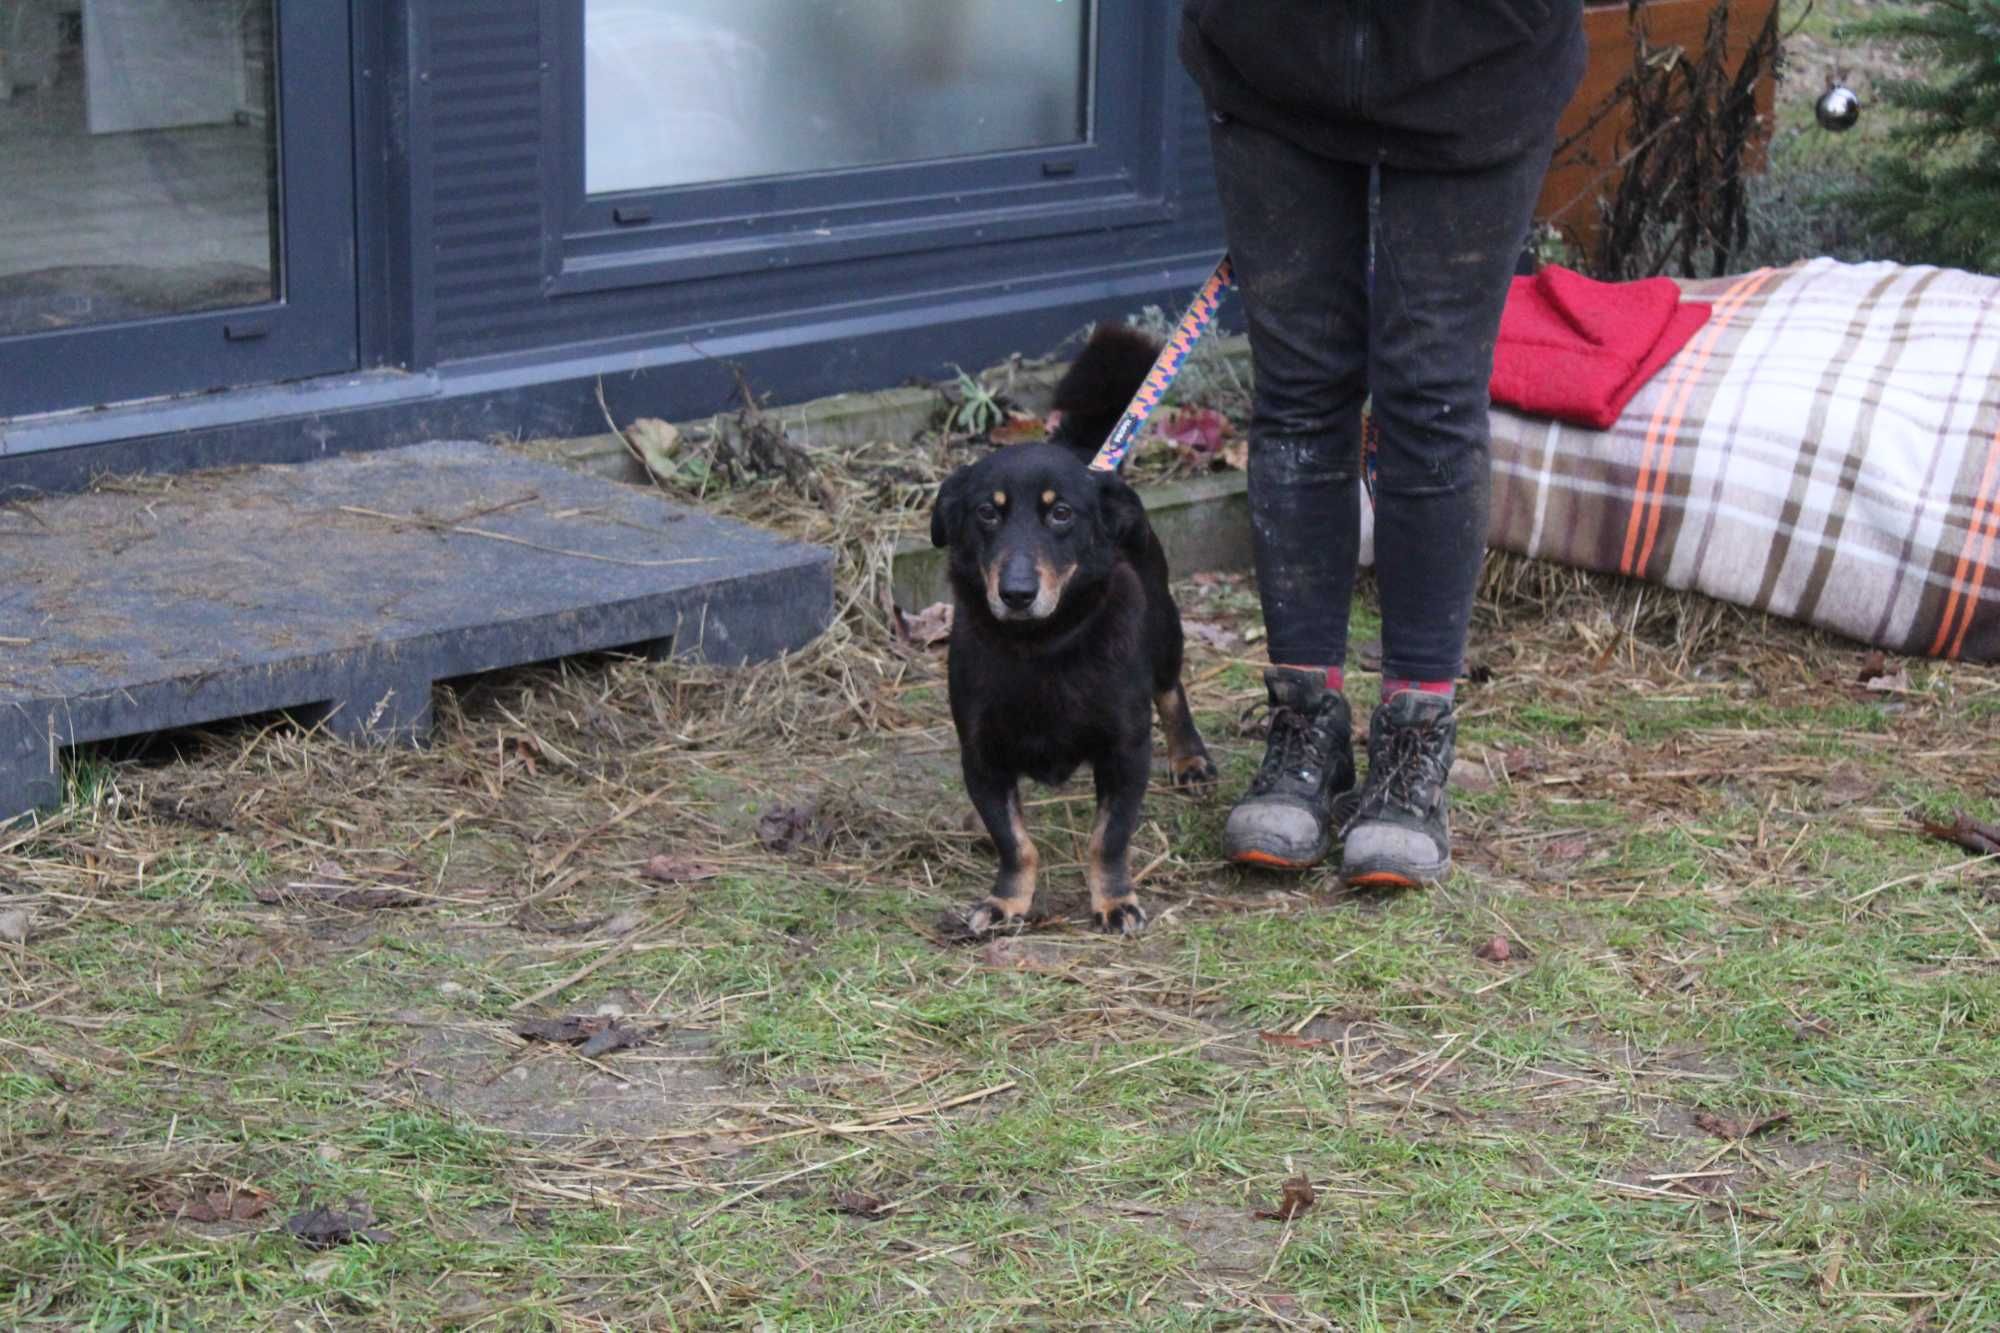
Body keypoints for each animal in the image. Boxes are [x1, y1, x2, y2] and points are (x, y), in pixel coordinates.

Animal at [928, 326, 1208, 932]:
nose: (1016, 593)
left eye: (1061, 515)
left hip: (1165, 629)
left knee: (1171, 691)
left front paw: (1114, 900)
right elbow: (1015, 842)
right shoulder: (982, 757)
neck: (1042, 645)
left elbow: (1109, 838)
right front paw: (1007, 901)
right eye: (987, 512)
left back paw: (1190, 757)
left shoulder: (1125, 750)